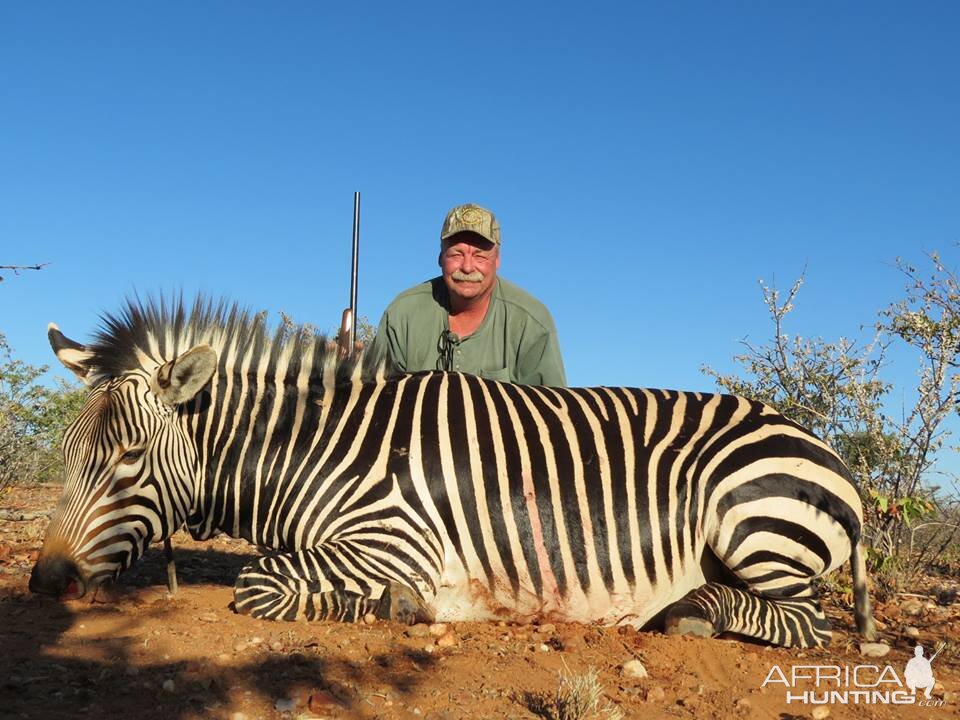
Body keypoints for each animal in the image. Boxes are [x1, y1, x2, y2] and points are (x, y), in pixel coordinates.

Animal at [30, 298, 872, 648]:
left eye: (128, 459)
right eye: (66, 456)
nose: (43, 584)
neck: (316, 446)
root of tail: (829, 452)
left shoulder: (395, 540)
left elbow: (260, 582)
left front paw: (396, 608)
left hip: (748, 519)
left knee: (808, 622)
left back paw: (691, 612)